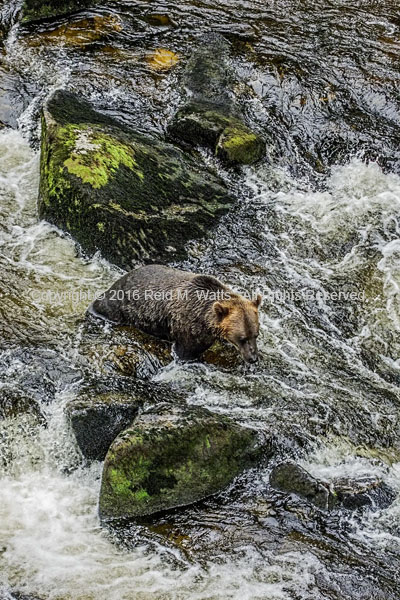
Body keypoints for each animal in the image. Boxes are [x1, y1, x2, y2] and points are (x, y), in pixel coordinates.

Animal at [89, 264, 260, 364]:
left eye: (255, 335)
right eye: (242, 338)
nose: (252, 358)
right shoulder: (188, 327)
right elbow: (185, 352)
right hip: (118, 306)